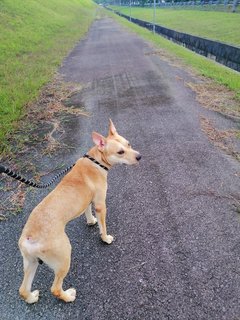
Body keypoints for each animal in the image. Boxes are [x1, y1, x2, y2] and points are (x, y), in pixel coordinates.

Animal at [19, 119, 142, 302]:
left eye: (129, 144)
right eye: (120, 152)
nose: (139, 156)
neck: (96, 160)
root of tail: (28, 237)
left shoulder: (88, 202)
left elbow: (87, 212)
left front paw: (91, 221)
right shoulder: (100, 204)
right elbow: (103, 227)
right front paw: (105, 238)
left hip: (31, 262)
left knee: (22, 289)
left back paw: (31, 297)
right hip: (64, 256)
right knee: (55, 288)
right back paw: (68, 296)